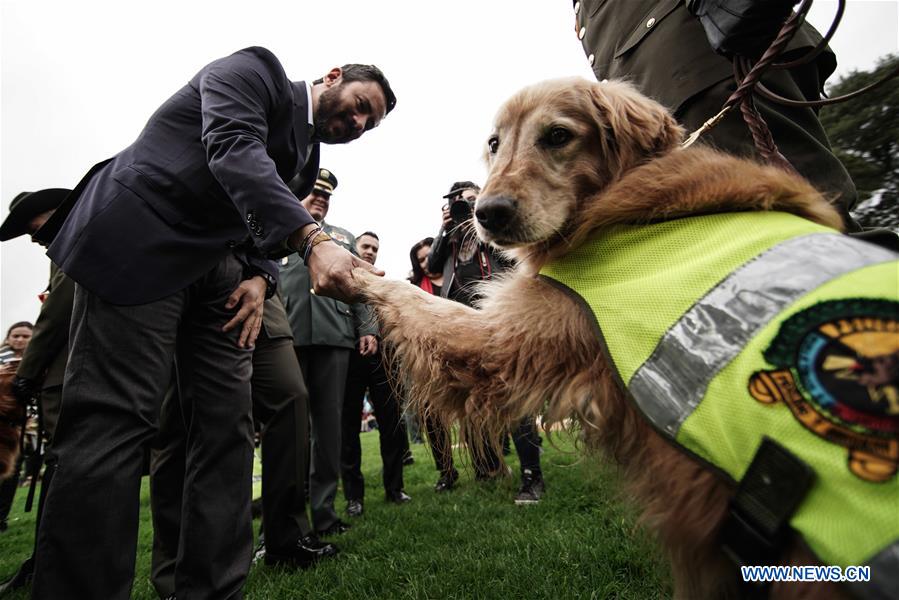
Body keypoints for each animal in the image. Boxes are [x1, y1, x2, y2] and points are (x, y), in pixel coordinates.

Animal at [352, 78, 892, 596]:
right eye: (494, 142)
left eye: (558, 136)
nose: (486, 213)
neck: (622, 201)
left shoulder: (500, 343)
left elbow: (411, 297)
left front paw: (354, 271)